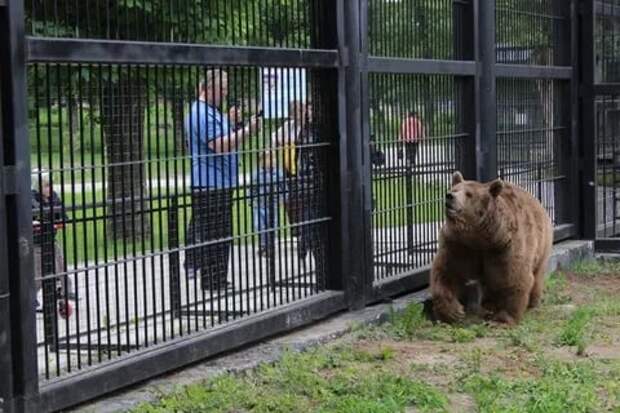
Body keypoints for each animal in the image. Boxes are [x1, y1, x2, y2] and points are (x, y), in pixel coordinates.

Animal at [428, 171, 556, 326]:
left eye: (469, 194)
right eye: (454, 189)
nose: (449, 196)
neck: (481, 237)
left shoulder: (505, 246)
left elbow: (513, 277)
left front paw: (503, 319)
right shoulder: (460, 245)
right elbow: (447, 272)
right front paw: (453, 312)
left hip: (542, 243)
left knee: (536, 274)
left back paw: (532, 302)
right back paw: (488, 305)